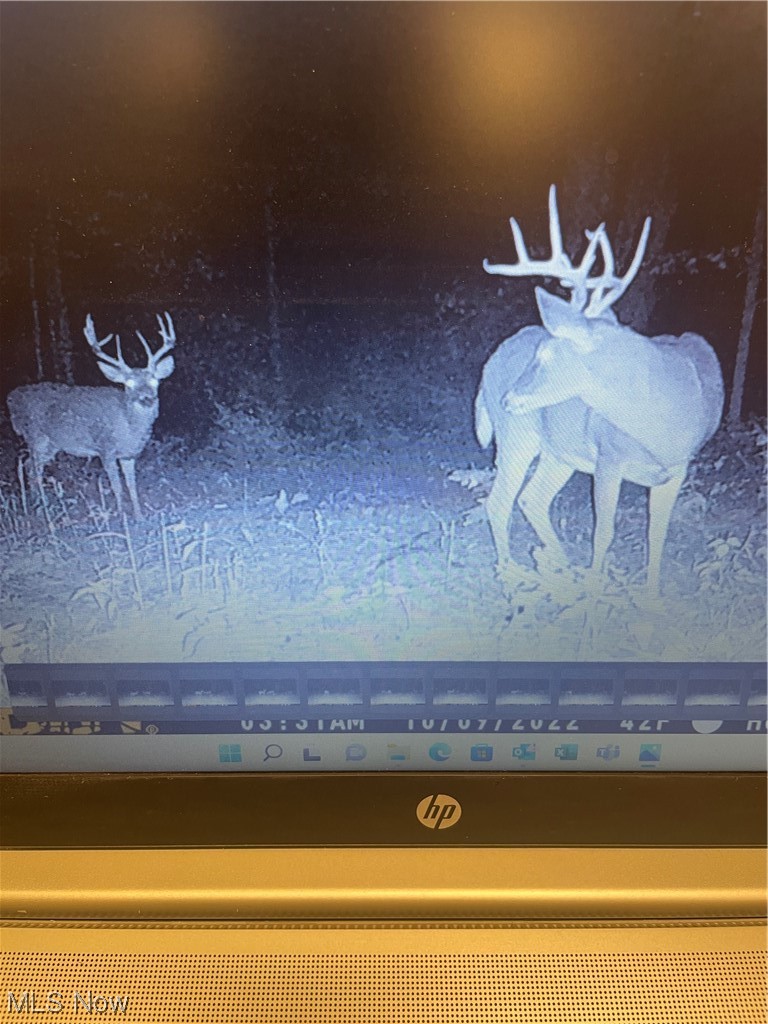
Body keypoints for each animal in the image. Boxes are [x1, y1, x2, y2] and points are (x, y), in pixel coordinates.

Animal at [7, 312, 176, 516]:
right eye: (129, 384)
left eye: (155, 381)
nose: (147, 398)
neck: (128, 428)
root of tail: (11, 398)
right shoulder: (106, 449)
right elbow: (117, 487)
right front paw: (122, 517)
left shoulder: (129, 454)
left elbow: (132, 486)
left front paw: (139, 517)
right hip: (36, 437)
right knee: (32, 469)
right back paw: (41, 509)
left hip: (51, 444)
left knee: (28, 466)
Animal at [475, 186, 724, 595]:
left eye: (544, 354)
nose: (508, 398)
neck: (660, 424)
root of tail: (487, 367)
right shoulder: (609, 456)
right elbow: (603, 533)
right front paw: (594, 595)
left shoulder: (679, 468)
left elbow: (657, 535)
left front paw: (651, 600)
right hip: (517, 436)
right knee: (499, 502)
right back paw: (514, 579)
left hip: (559, 451)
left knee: (531, 499)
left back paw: (559, 567)